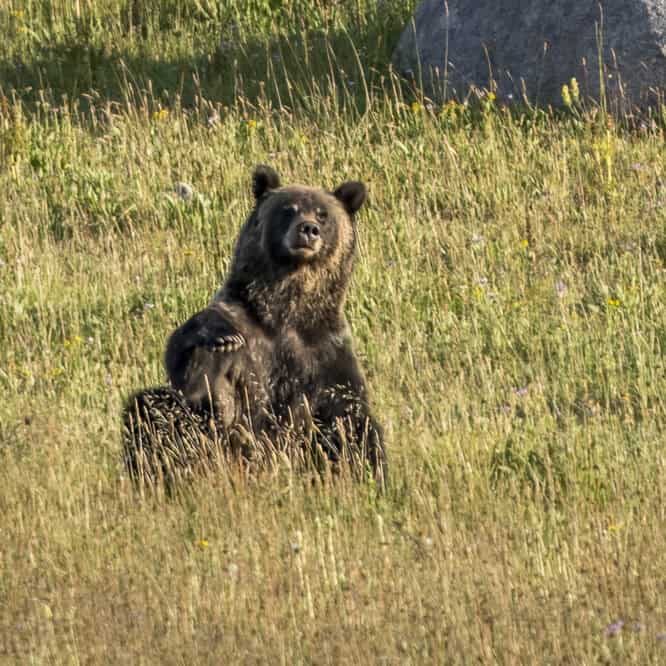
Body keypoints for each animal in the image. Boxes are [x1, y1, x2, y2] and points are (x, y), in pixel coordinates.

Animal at [122, 165, 386, 489]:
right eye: (288, 209)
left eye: (323, 214)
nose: (308, 229)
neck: (286, 312)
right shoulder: (245, 329)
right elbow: (190, 371)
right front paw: (219, 339)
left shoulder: (324, 350)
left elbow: (347, 413)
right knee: (149, 410)